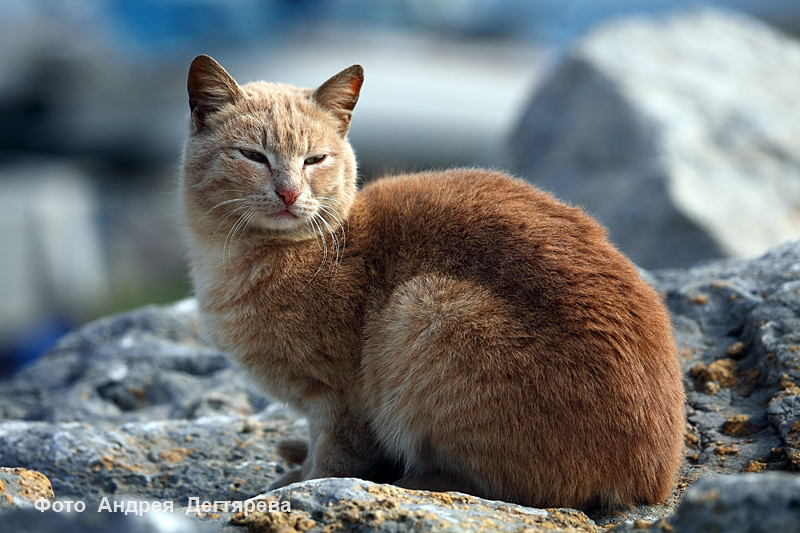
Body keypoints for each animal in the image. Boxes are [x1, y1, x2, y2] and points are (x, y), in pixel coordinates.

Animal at [183, 55, 688, 512]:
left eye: (315, 160)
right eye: (253, 155)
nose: (288, 193)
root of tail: (655, 479)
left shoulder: (342, 399)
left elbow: (332, 463)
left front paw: (295, 483)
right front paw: (295, 462)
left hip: (425, 307)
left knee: (501, 486)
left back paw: (409, 478)